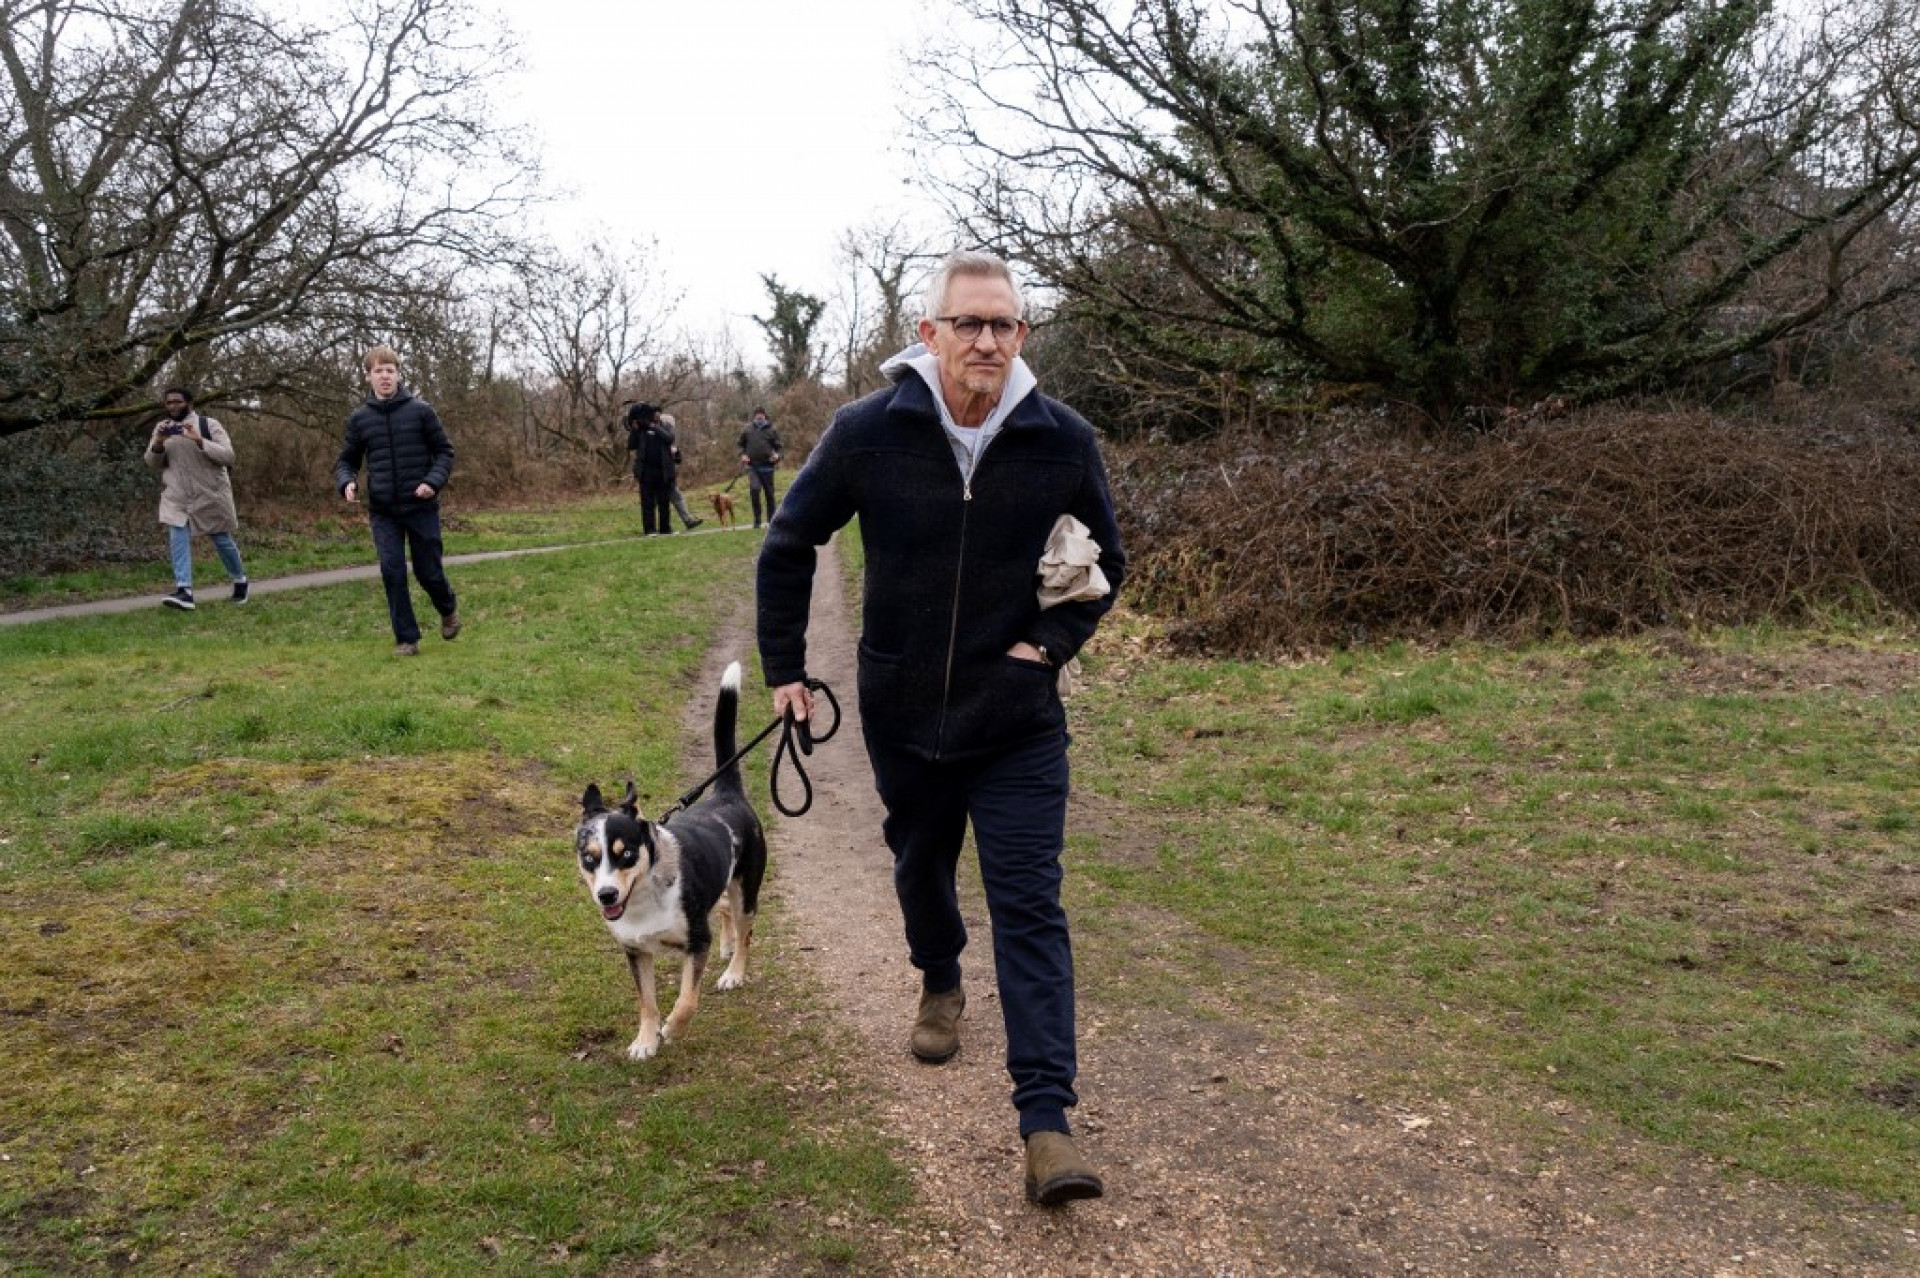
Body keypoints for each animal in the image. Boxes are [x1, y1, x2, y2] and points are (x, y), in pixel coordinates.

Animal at [572, 656, 768, 1051]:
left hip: (747, 890)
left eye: (626, 854)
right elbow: (646, 1001)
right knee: (725, 908)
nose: (607, 895)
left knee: (746, 930)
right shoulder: (636, 951)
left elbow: (687, 999)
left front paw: (673, 1030)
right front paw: (645, 1041)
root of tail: (727, 793)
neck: (644, 896)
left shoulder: (697, 942)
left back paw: (733, 971)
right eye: (590, 857)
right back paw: (727, 944)